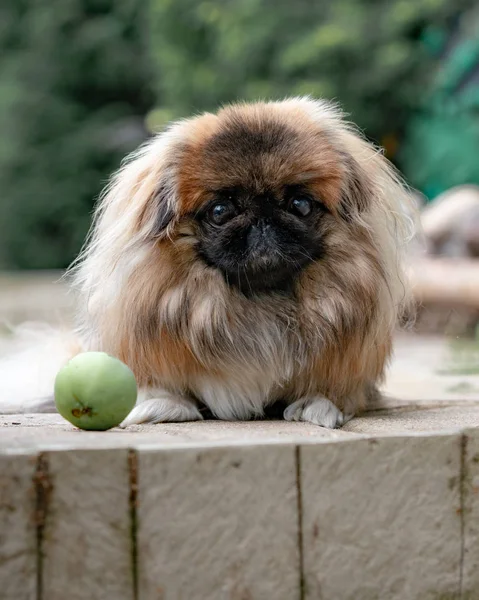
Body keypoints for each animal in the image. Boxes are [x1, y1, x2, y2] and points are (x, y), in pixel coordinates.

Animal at [0, 97, 412, 426]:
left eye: (301, 204)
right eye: (219, 211)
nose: (263, 219)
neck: (258, 303)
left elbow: (336, 391)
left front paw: (318, 404)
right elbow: (161, 387)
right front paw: (163, 406)